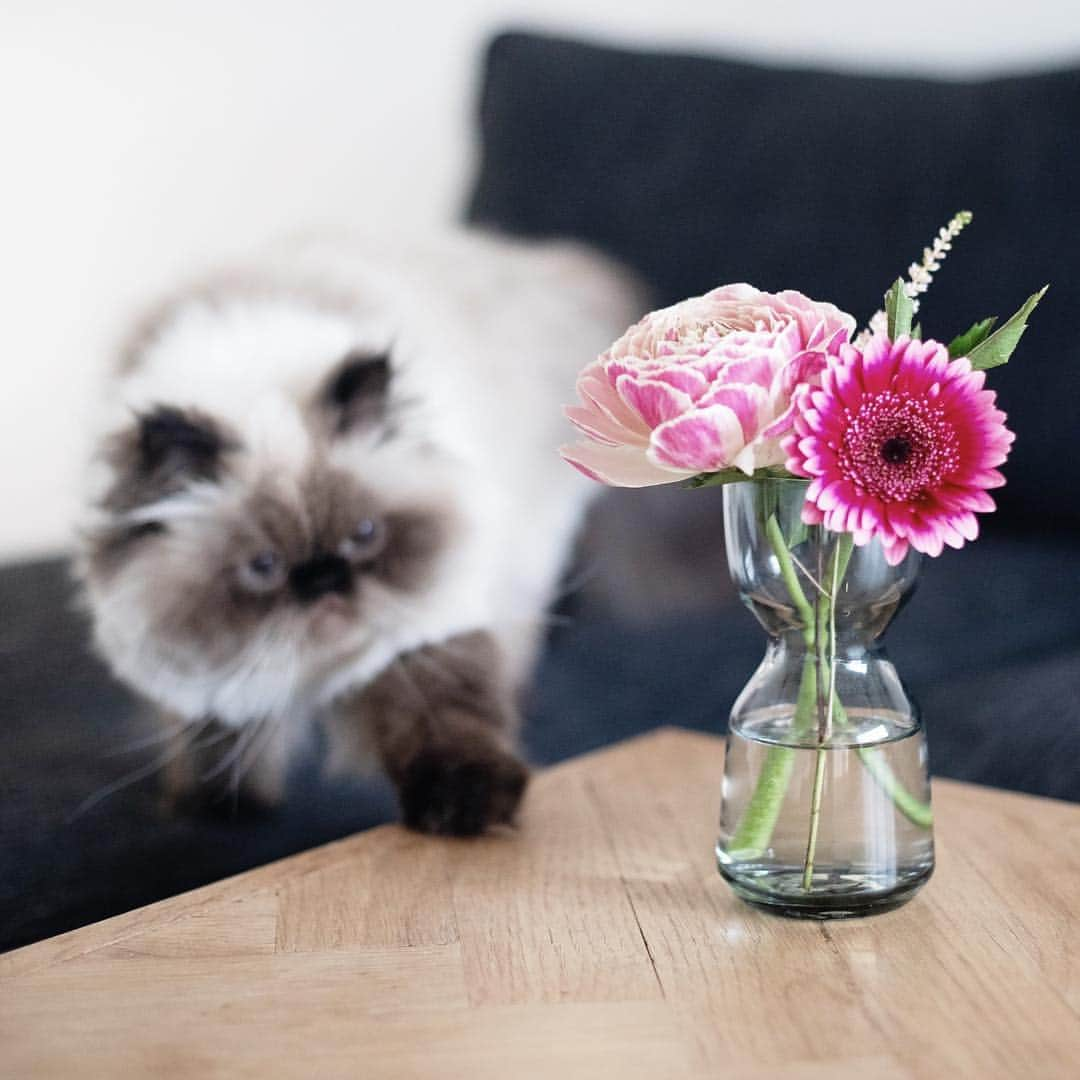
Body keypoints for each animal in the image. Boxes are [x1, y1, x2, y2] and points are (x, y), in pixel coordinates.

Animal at [78, 230, 639, 833]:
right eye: (263, 566)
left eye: (365, 535)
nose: (325, 579)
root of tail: (513, 257)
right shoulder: (206, 668)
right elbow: (220, 733)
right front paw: (220, 807)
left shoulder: (422, 629)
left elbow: (446, 719)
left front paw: (469, 807)